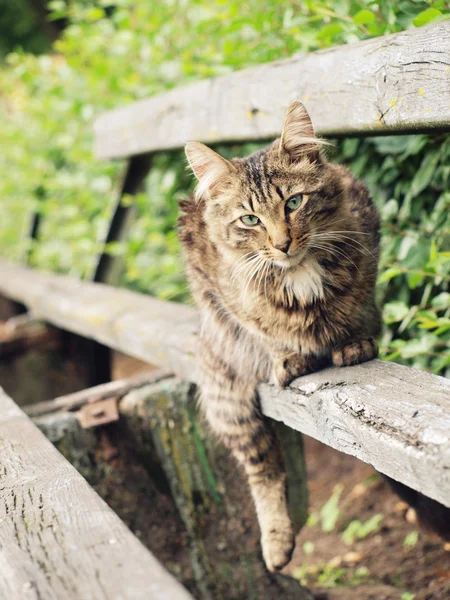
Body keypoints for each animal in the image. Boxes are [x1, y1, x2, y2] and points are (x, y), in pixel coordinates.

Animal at [179, 102, 446, 572]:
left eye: (294, 202)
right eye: (250, 220)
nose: (282, 244)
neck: (298, 273)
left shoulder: (366, 237)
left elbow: (355, 310)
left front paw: (351, 343)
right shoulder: (225, 289)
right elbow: (267, 326)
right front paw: (291, 354)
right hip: (227, 396)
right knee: (263, 467)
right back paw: (276, 545)